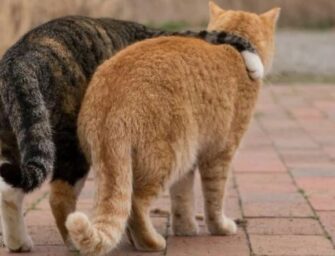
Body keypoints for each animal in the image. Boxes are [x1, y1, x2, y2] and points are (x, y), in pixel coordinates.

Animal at [0, 14, 264, 252]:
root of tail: (19, 59)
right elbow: (222, 35)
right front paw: (254, 64)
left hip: (21, 144)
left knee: (8, 191)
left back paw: (18, 243)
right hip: (73, 149)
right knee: (61, 198)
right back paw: (77, 244)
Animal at [67, 2, 280, 256]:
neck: (235, 50)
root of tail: (111, 99)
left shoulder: (190, 162)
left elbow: (182, 198)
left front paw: (185, 229)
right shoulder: (219, 154)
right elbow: (214, 198)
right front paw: (220, 228)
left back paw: (134, 240)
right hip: (169, 157)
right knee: (135, 204)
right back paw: (151, 243)